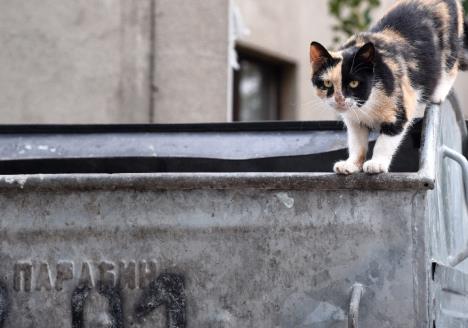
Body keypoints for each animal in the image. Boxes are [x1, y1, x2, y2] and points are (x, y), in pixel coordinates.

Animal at [308, 0, 466, 174]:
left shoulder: (401, 105)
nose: (339, 98)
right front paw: (351, 164)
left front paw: (376, 164)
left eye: (354, 83)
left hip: (450, 46)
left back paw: (439, 92)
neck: (368, 104)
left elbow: (385, 141)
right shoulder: (354, 122)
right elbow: (356, 144)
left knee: (451, 65)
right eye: (327, 83)